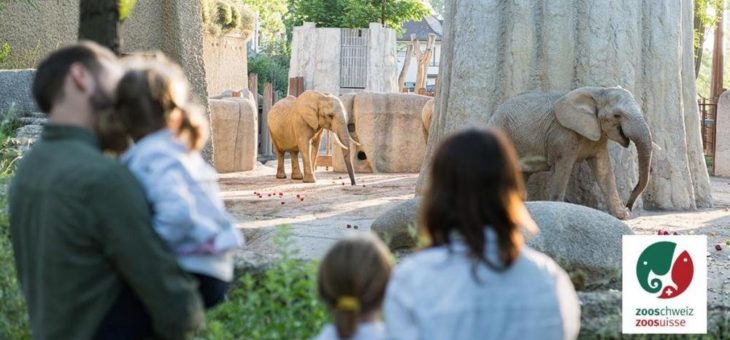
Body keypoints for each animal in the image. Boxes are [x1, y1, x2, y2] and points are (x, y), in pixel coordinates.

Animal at [486, 86, 652, 220]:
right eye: (617, 115)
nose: (629, 206)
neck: (598, 91)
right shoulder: (562, 134)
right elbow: (563, 166)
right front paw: (557, 206)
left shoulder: (597, 136)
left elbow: (603, 169)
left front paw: (622, 215)